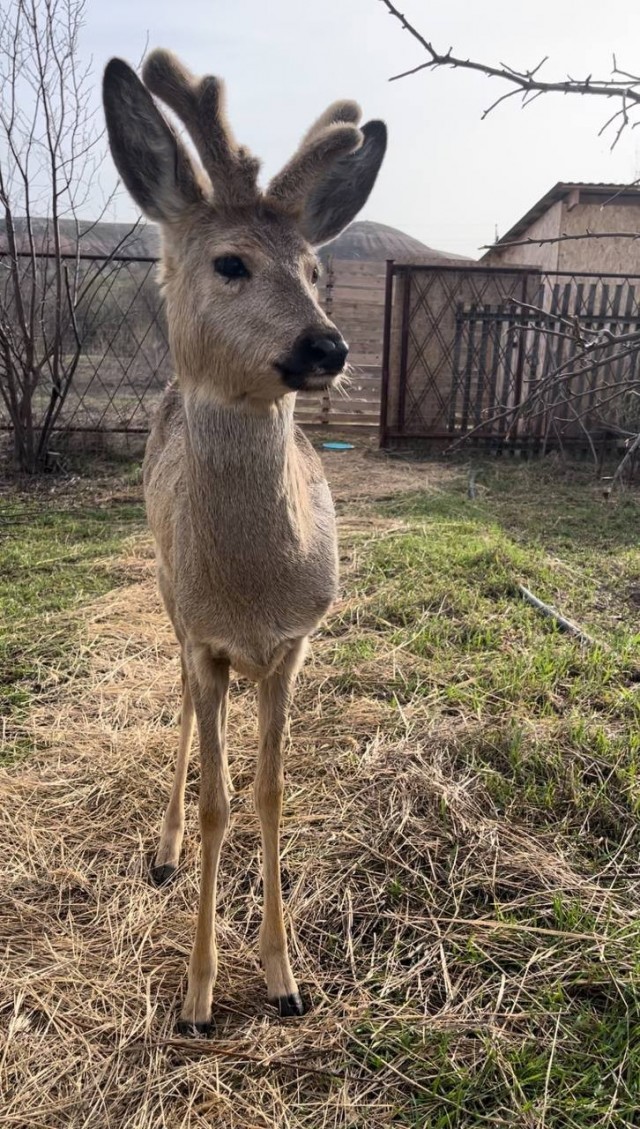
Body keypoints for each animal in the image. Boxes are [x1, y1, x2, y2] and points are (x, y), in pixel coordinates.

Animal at [102, 50, 386, 1033]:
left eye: (314, 267)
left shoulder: (295, 642)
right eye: (230, 262)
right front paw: (197, 992)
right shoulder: (207, 637)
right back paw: (161, 849)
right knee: (183, 711)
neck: (255, 592)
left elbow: (268, 791)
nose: (328, 345)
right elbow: (220, 800)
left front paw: (284, 974)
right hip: (166, 594)